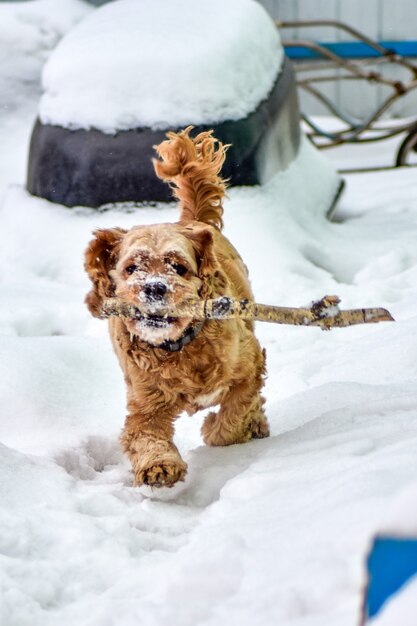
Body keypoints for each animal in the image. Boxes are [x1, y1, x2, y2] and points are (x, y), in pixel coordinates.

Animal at [83, 127, 270, 488]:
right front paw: (159, 466)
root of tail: (193, 221)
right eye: (131, 268)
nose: (155, 288)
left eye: (178, 267)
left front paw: (217, 429)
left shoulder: (250, 366)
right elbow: (143, 435)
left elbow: (236, 413)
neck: (179, 348)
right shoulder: (145, 403)